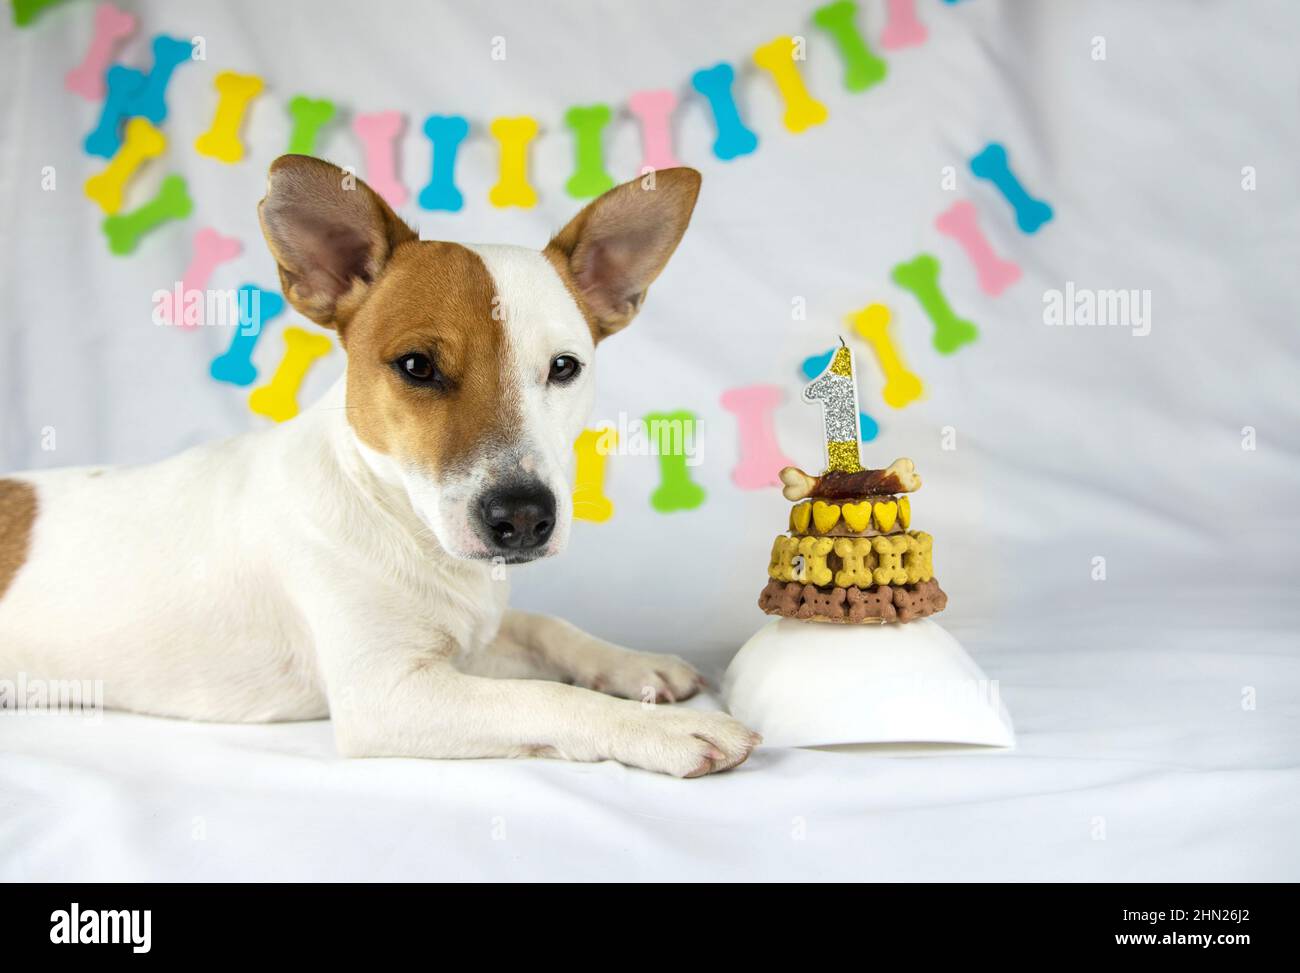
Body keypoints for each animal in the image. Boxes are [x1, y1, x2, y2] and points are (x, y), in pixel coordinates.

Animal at [0, 156, 759, 775]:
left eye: (564, 367)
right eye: (417, 366)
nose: (523, 518)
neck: (400, 517)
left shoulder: (469, 641)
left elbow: (546, 628)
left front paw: (632, 664)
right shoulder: (388, 693)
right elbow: (541, 696)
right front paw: (663, 730)